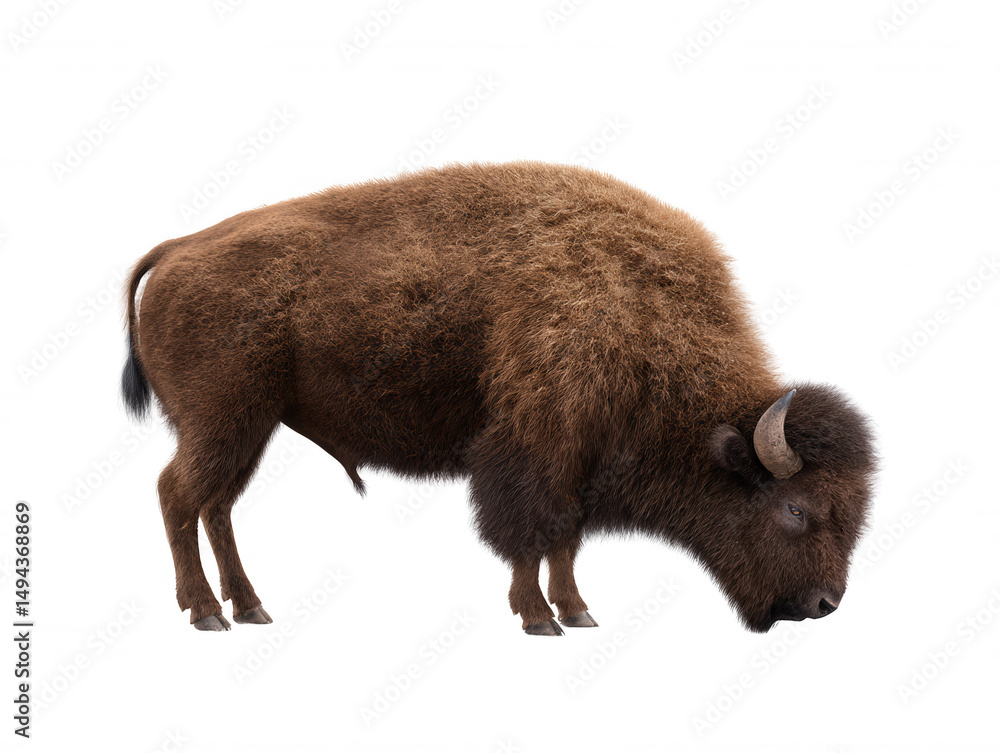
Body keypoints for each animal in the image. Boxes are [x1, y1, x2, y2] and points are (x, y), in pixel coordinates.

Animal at [122, 162, 875, 634]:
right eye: (796, 510)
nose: (823, 603)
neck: (642, 315)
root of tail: (180, 247)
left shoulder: (581, 465)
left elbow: (564, 539)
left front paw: (577, 610)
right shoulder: (535, 452)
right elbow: (528, 532)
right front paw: (538, 617)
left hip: (248, 428)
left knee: (215, 505)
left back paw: (248, 606)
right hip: (226, 421)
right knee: (178, 494)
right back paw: (206, 611)